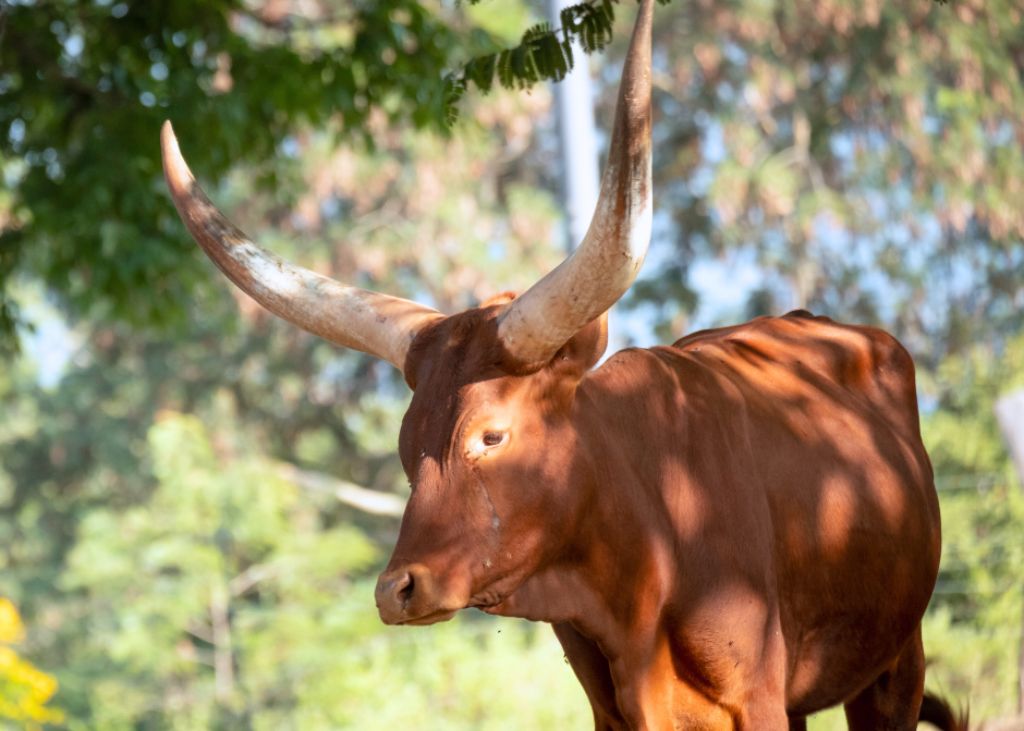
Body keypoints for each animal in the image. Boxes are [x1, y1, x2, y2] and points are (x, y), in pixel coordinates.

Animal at [161, 2, 966, 724]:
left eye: (491, 434)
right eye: (403, 447)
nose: (398, 590)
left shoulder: (757, 700)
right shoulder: (612, 707)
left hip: (894, 664)